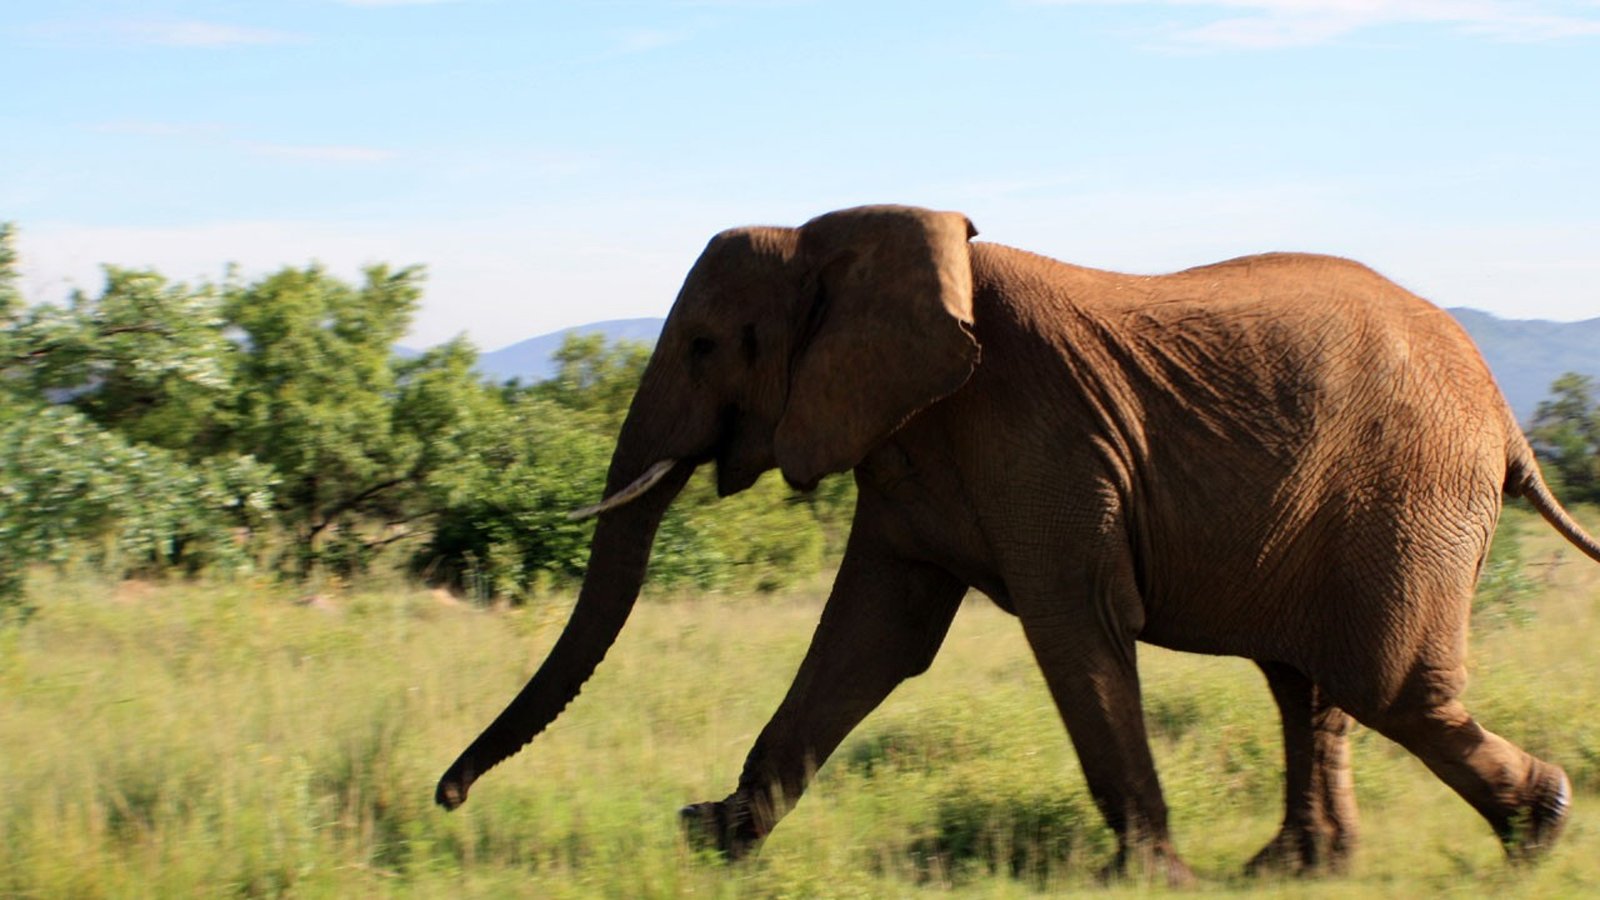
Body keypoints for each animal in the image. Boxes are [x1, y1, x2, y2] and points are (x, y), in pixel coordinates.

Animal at [438, 201, 1600, 877]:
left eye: (709, 344)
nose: (446, 798)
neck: (858, 240)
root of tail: (1509, 425)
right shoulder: (907, 441)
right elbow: (870, 639)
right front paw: (713, 840)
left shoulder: (1038, 434)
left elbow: (1073, 627)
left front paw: (1145, 880)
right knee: (1307, 684)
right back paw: (1298, 871)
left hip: (1404, 499)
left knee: (1383, 686)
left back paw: (1539, 829)